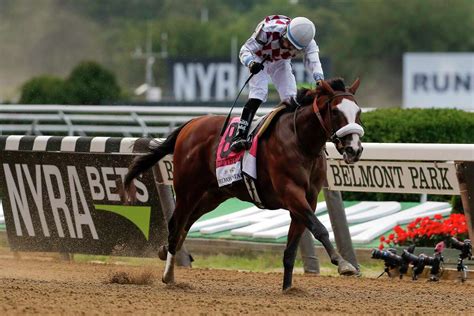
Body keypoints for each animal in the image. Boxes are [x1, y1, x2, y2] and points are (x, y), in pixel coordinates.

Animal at [122, 78, 362, 290]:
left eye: (358, 112)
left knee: (184, 225)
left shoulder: (307, 200)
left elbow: (292, 248)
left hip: (211, 196)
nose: (355, 149)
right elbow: (320, 228)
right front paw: (344, 264)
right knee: (175, 226)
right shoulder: (292, 194)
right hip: (187, 190)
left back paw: (165, 253)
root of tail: (190, 124)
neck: (300, 141)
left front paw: (288, 288)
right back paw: (169, 275)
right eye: (336, 112)